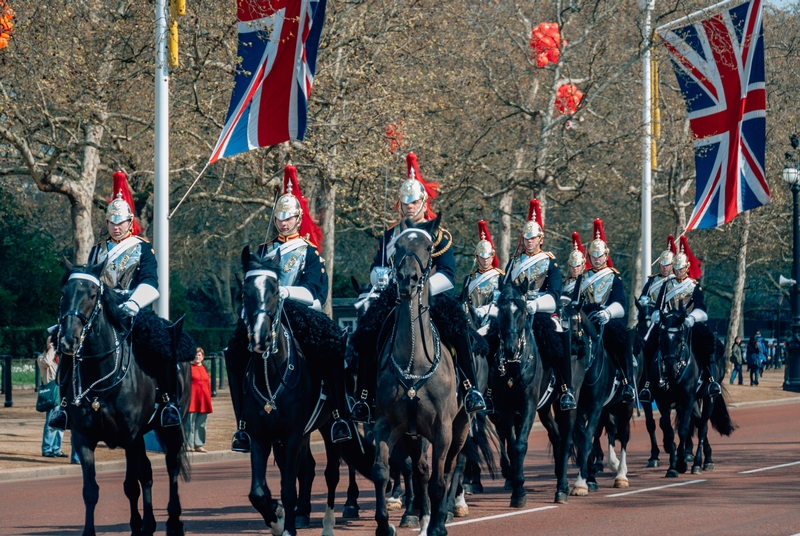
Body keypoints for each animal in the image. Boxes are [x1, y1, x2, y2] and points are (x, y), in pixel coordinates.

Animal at [58, 260, 194, 536]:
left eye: (92, 295)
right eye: (63, 294)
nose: (67, 341)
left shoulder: (130, 437)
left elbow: (130, 485)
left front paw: (136, 526)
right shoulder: (83, 437)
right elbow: (91, 491)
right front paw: (91, 531)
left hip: (171, 427)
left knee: (172, 465)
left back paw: (174, 522)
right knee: (148, 472)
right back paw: (149, 525)